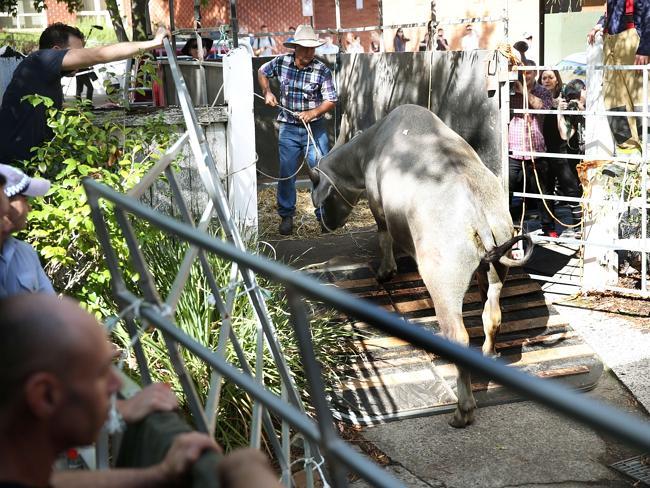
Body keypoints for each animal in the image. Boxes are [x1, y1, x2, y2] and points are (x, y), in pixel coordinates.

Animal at [310, 104, 532, 428]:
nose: (324, 224)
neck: (370, 146)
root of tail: (478, 212)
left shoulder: (378, 205)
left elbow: (383, 235)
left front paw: (386, 271)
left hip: (443, 279)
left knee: (458, 336)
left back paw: (462, 411)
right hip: (494, 267)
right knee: (492, 314)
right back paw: (490, 354)